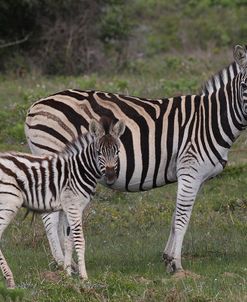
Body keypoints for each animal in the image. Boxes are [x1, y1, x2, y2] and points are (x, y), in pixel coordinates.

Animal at [0, 117, 124, 288]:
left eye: (117, 152)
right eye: (99, 152)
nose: (111, 177)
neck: (80, 170)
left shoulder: (67, 208)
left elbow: (68, 241)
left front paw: (67, 276)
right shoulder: (74, 207)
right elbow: (79, 240)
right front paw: (84, 278)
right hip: (8, 203)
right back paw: (10, 280)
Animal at [24, 44, 247, 274]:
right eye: (245, 85)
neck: (211, 119)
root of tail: (35, 106)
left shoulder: (195, 176)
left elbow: (175, 216)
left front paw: (168, 258)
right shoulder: (190, 169)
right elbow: (182, 218)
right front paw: (177, 265)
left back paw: (70, 265)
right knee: (50, 217)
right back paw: (62, 265)